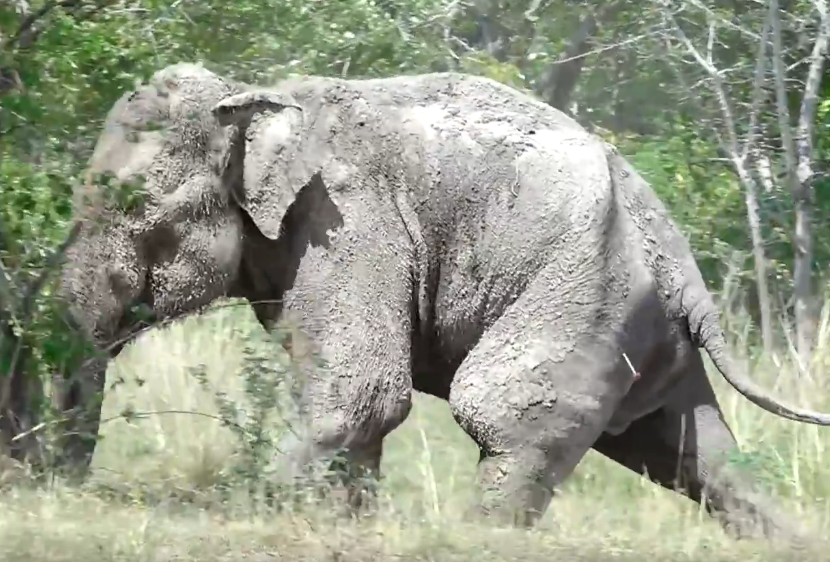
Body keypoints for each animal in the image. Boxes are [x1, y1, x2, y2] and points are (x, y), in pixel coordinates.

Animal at [58, 61, 830, 544]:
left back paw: (474, 535)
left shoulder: (350, 221)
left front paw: (241, 511)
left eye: (132, 209)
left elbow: (362, 393)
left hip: (587, 293)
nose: (64, 486)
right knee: (693, 454)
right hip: (643, 328)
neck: (258, 93)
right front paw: (344, 522)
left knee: (506, 410)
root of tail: (682, 262)